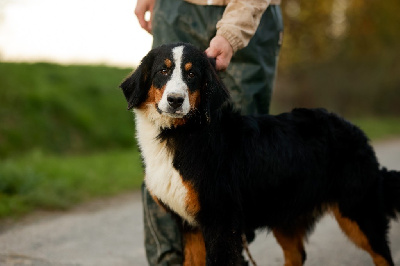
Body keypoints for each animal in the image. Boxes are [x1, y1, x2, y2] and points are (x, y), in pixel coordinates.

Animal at [121, 42, 400, 264]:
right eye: (163, 70)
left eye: (192, 74)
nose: (176, 100)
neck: (182, 133)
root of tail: (356, 130)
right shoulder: (190, 225)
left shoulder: (221, 222)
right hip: (286, 214)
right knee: (297, 255)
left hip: (359, 213)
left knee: (383, 256)